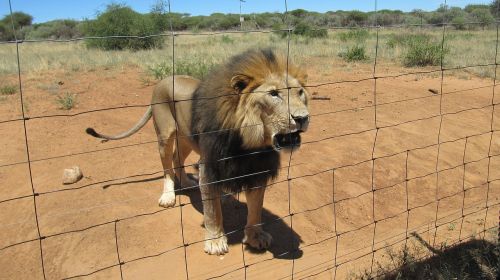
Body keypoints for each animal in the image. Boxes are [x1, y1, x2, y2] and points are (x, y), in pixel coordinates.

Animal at [88, 48, 310, 256]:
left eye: (300, 92)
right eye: (273, 94)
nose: (303, 118)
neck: (250, 142)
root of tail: (165, 79)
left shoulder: (257, 169)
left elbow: (256, 209)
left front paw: (255, 237)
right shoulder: (209, 166)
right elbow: (213, 211)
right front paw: (215, 241)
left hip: (186, 139)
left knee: (177, 159)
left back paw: (188, 184)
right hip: (165, 134)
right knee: (167, 166)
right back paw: (168, 196)